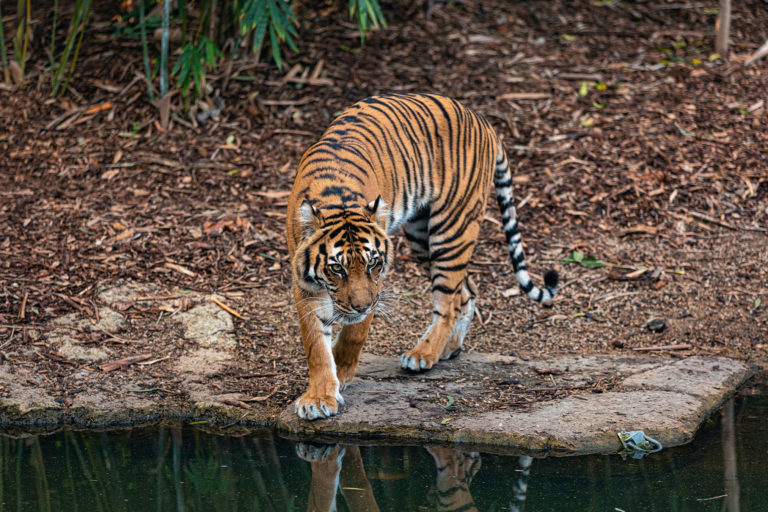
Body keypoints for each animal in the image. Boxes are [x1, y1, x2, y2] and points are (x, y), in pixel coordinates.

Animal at [288, 93, 560, 420]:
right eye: (336, 269)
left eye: (373, 264)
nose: (361, 306)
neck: (336, 200)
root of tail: (483, 120)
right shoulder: (305, 284)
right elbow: (316, 345)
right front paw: (319, 397)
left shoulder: (376, 284)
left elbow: (355, 332)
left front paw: (341, 374)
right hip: (421, 237)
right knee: (466, 290)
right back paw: (449, 348)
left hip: (452, 229)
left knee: (448, 300)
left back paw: (423, 354)